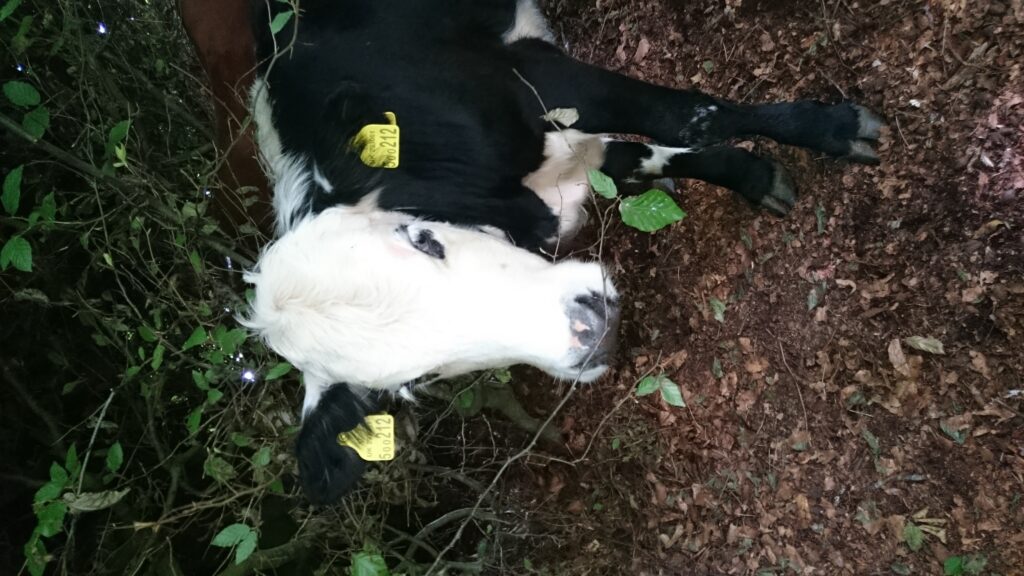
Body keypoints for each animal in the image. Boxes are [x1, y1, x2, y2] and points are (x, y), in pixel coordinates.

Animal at [181, 0, 883, 504]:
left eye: (423, 237)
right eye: (417, 381)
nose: (592, 328)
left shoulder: (531, 74)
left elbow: (688, 115)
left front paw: (834, 128)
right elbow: (651, 154)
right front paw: (755, 176)